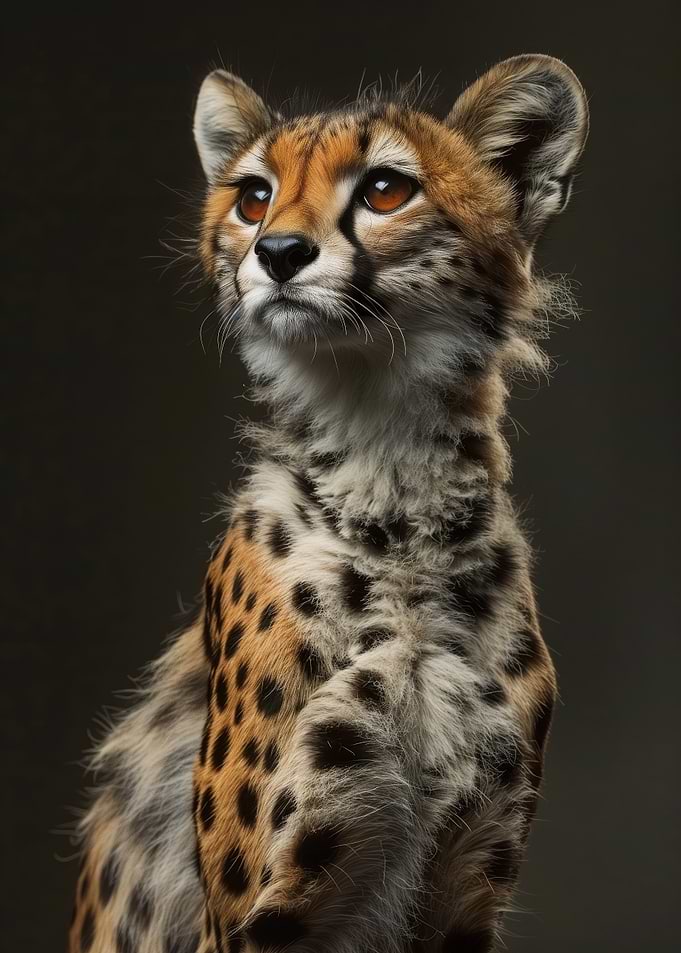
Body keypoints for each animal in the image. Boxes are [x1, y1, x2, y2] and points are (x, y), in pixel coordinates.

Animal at [68, 53, 588, 953]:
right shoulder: (265, 916)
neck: (396, 501)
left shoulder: (463, 894)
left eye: (384, 189)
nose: (277, 251)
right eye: (253, 196)